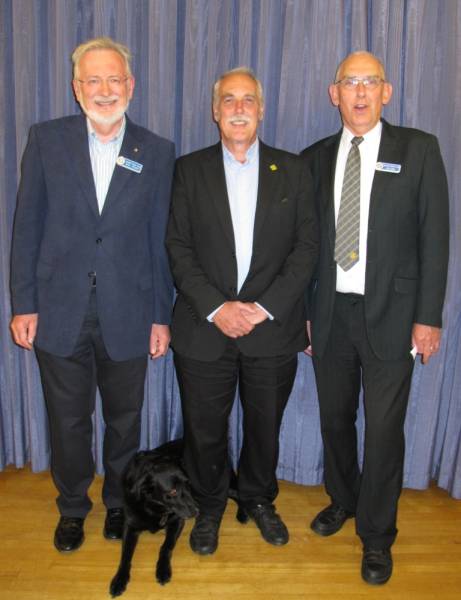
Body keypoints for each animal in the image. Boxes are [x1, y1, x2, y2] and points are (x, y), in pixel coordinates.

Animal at [111, 438, 198, 596]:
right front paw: (119, 579)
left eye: (188, 484)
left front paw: (163, 570)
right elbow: (125, 556)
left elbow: (166, 546)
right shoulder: (130, 526)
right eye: (173, 491)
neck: (154, 507)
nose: (196, 511)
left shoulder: (177, 521)